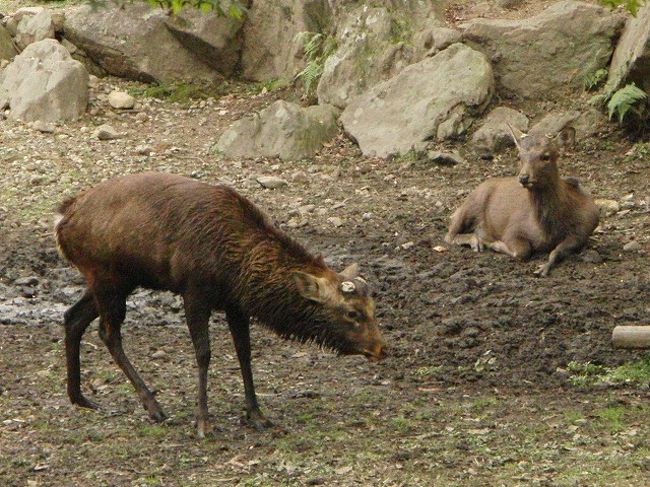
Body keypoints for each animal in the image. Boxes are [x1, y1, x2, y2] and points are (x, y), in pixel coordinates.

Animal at [54, 172, 386, 437]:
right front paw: (203, 422)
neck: (236, 267)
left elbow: (244, 353)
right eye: (352, 312)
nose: (380, 348)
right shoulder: (194, 292)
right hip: (106, 276)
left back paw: (80, 398)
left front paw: (257, 415)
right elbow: (203, 354)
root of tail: (62, 220)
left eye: (373, 308)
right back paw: (153, 406)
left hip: (118, 281)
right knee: (108, 332)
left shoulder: (235, 303)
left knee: (73, 317)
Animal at [444, 125, 599, 276]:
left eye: (546, 156)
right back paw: (476, 240)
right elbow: (522, 251)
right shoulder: (512, 229)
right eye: (519, 156)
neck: (548, 231)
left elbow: (557, 251)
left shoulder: (582, 232)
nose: (524, 177)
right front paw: (494, 244)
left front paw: (542, 268)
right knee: (449, 234)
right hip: (472, 202)